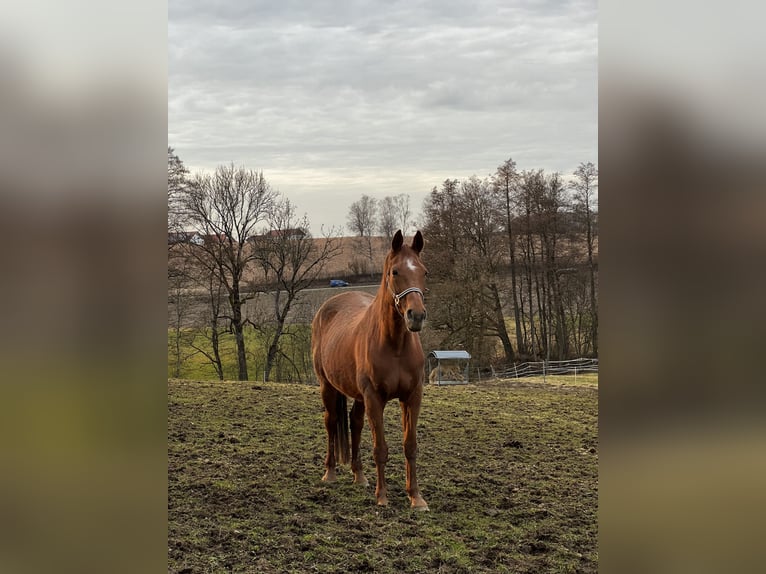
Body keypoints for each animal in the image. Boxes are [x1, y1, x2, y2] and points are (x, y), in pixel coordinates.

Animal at [312, 230, 432, 512]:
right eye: (395, 272)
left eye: (424, 272)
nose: (416, 316)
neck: (395, 344)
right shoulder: (374, 398)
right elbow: (380, 449)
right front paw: (383, 497)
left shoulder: (412, 397)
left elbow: (410, 446)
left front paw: (416, 497)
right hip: (327, 387)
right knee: (331, 422)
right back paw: (330, 473)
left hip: (357, 396)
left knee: (354, 423)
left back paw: (359, 476)